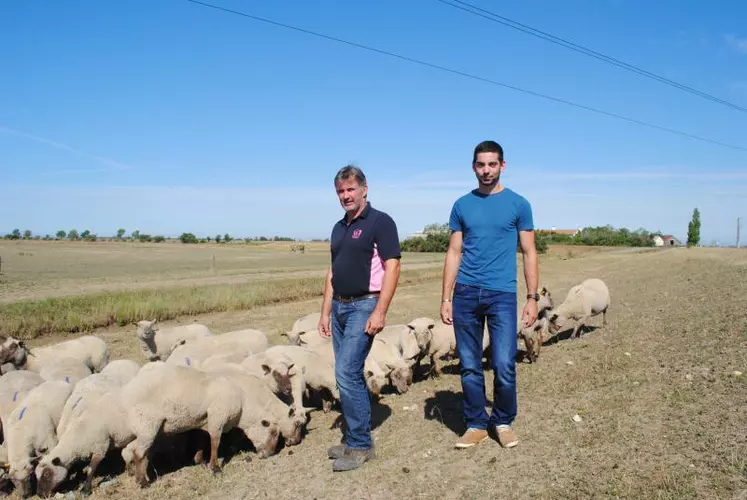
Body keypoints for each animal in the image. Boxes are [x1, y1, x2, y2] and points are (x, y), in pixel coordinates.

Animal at [120, 364, 280, 488]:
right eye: (273, 433)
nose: (270, 454)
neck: (243, 409)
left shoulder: (204, 419)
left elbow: (202, 440)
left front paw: (200, 461)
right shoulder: (218, 415)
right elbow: (215, 441)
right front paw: (215, 468)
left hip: (146, 428)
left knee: (133, 450)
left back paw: (135, 474)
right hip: (148, 424)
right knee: (139, 452)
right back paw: (142, 482)